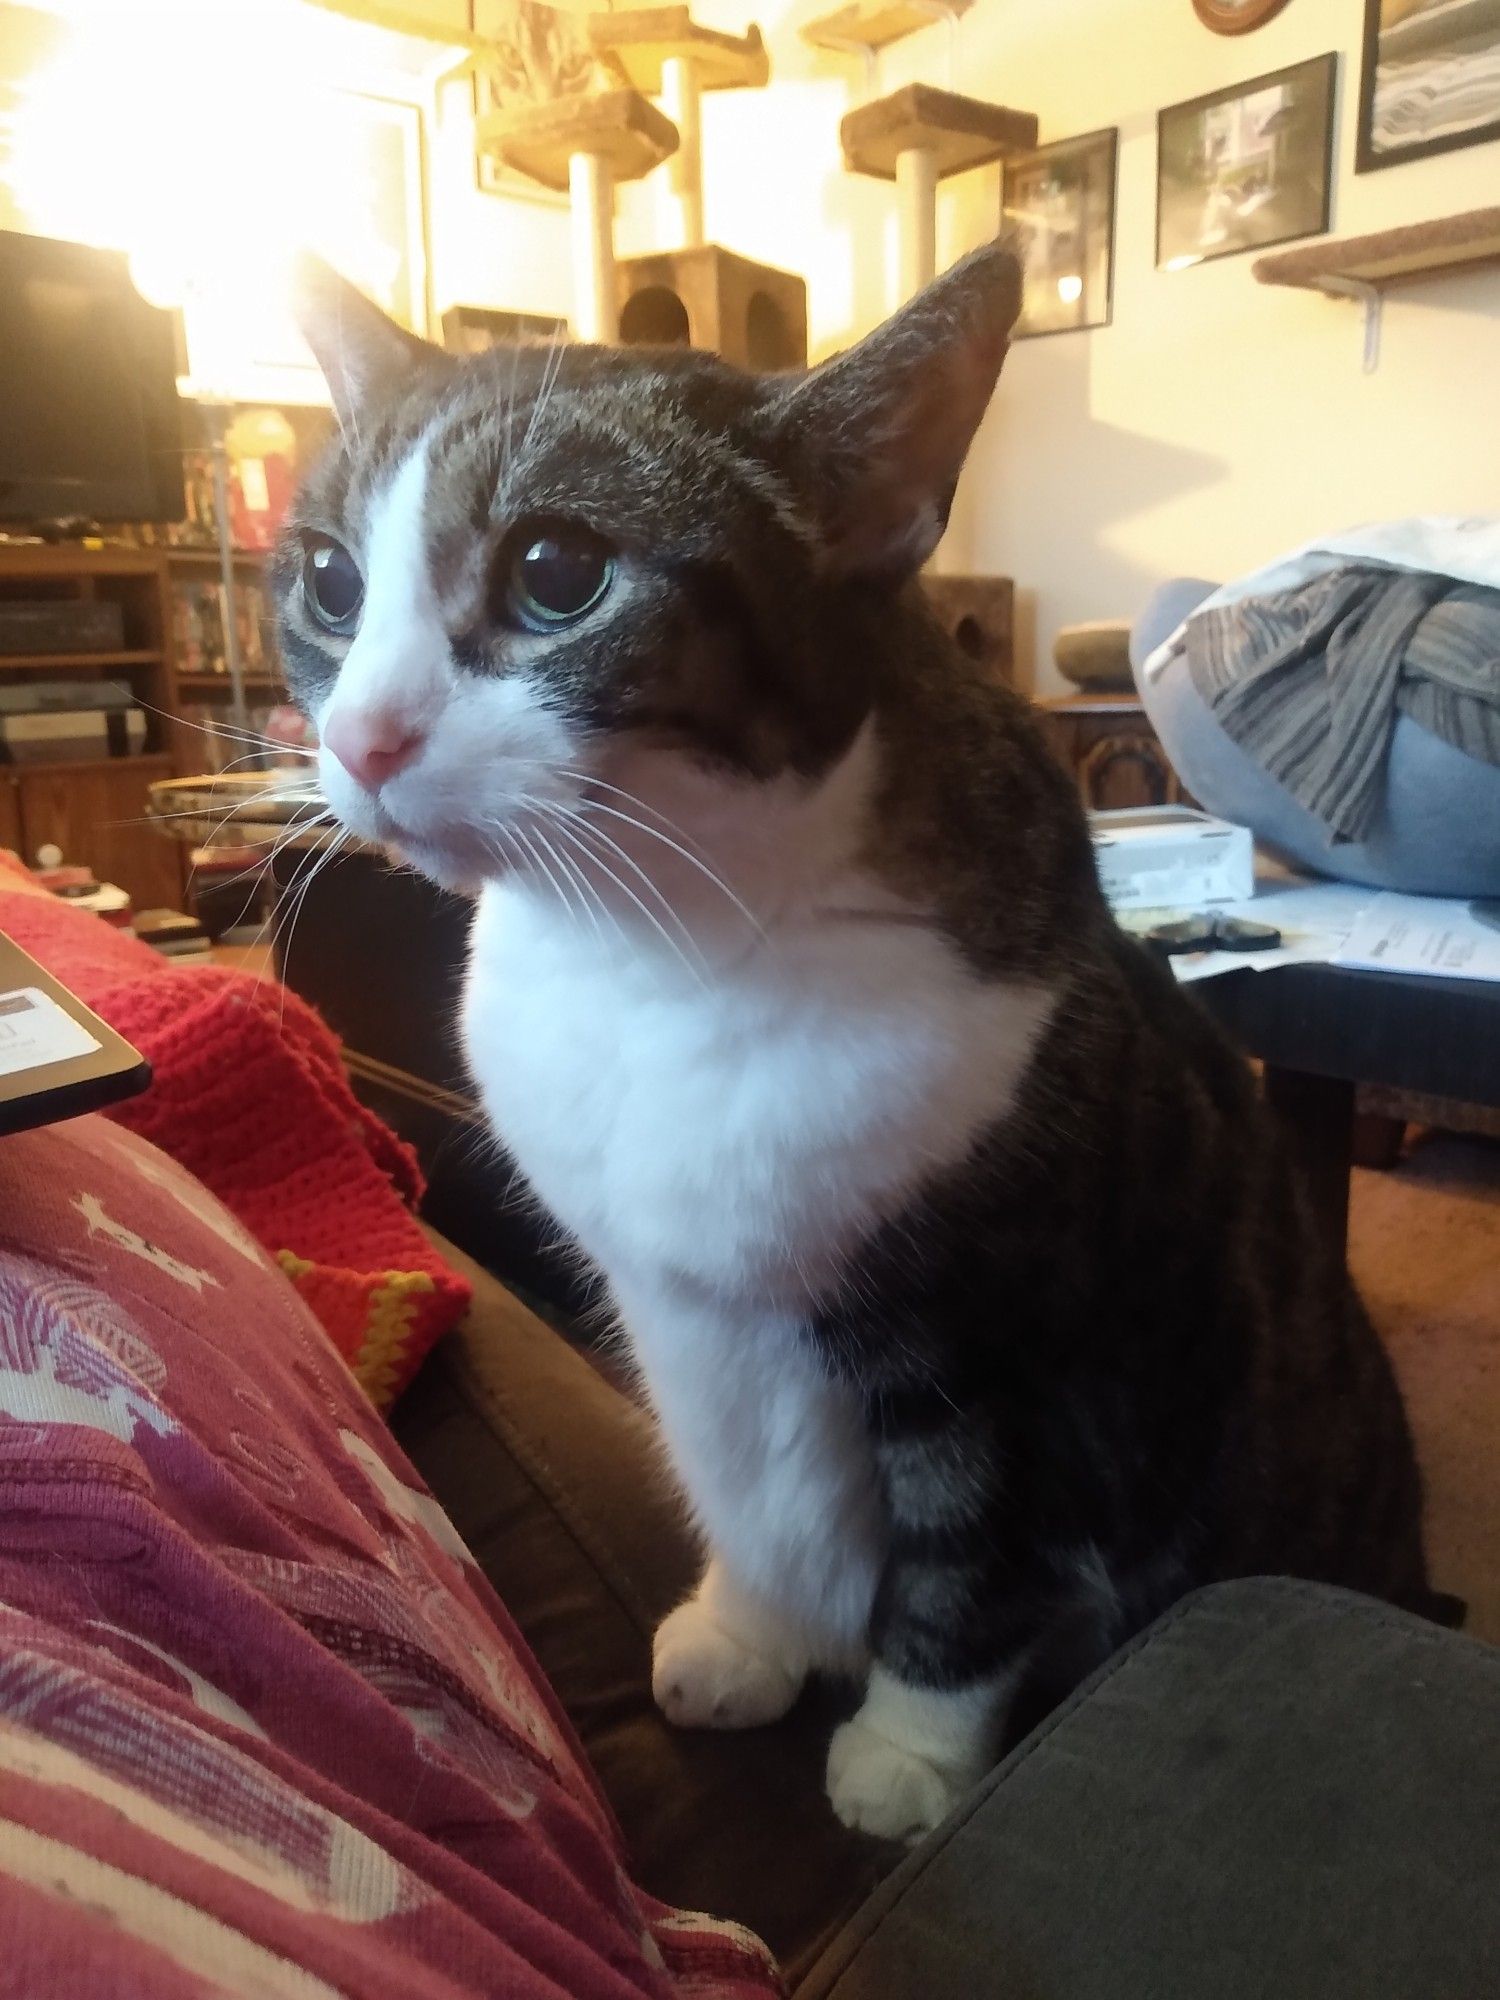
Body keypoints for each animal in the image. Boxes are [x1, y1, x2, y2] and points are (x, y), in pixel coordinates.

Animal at [276, 246, 1448, 1840]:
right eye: (330, 582)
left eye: (556, 573)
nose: (365, 740)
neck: (656, 957)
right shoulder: (676, 1312)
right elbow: (744, 1486)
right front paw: (754, 1633)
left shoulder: (1003, 1344)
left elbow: (968, 1555)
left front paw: (910, 1752)